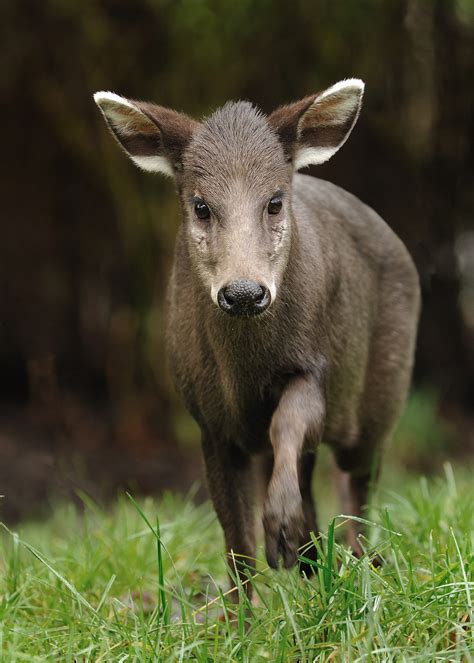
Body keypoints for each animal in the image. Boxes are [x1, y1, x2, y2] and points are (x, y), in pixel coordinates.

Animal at [94, 80, 420, 592]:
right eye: (201, 206)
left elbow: (287, 423)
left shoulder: (315, 367)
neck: (245, 368)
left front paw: (282, 531)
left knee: (357, 486)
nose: (244, 292)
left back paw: (359, 568)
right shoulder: (208, 420)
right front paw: (247, 605)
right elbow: (236, 544)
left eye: (274, 201)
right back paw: (315, 568)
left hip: (382, 397)